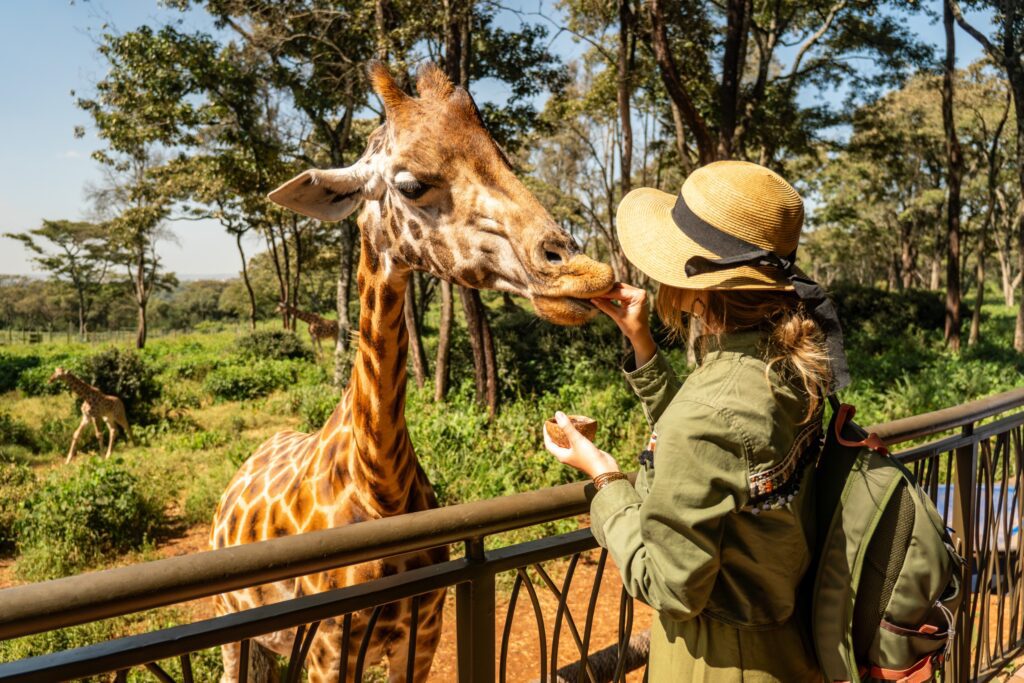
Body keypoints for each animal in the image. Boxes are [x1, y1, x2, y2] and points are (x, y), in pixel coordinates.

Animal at [210, 61, 610, 679]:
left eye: (504, 159)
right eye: (412, 185)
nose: (581, 273)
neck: (381, 487)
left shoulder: (422, 636)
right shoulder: (327, 651)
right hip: (236, 627)